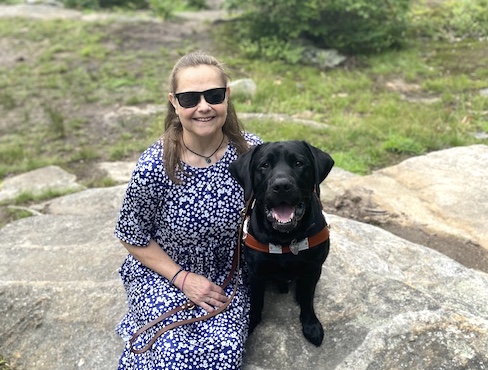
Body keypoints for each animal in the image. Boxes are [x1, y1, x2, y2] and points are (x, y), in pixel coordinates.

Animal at [229, 140, 332, 346]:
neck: (285, 239)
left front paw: (311, 325)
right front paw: (251, 323)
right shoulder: (256, 273)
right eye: (264, 165)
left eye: (299, 163)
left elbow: (308, 299)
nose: (282, 185)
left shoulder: (314, 267)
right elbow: (256, 301)